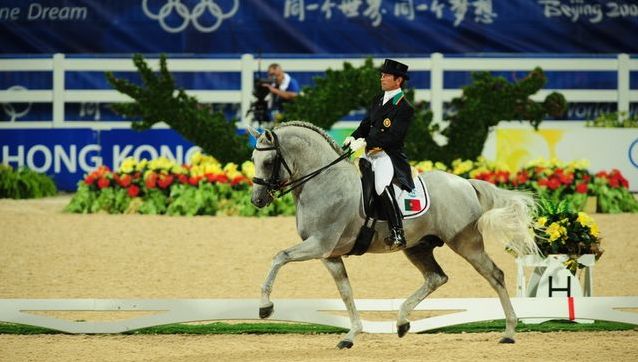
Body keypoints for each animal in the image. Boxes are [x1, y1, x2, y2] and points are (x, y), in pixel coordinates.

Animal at [250, 121, 540, 348]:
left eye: (268, 161)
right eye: (253, 160)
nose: (257, 200)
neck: (323, 182)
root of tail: (466, 183)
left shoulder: (319, 245)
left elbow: (280, 257)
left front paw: (265, 307)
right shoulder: (329, 254)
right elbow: (345, 291)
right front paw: (351, 335)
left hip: (466, 243)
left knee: (494, 275)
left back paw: (510, 332)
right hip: (418, 247)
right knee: (436, 277)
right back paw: (401, 322)